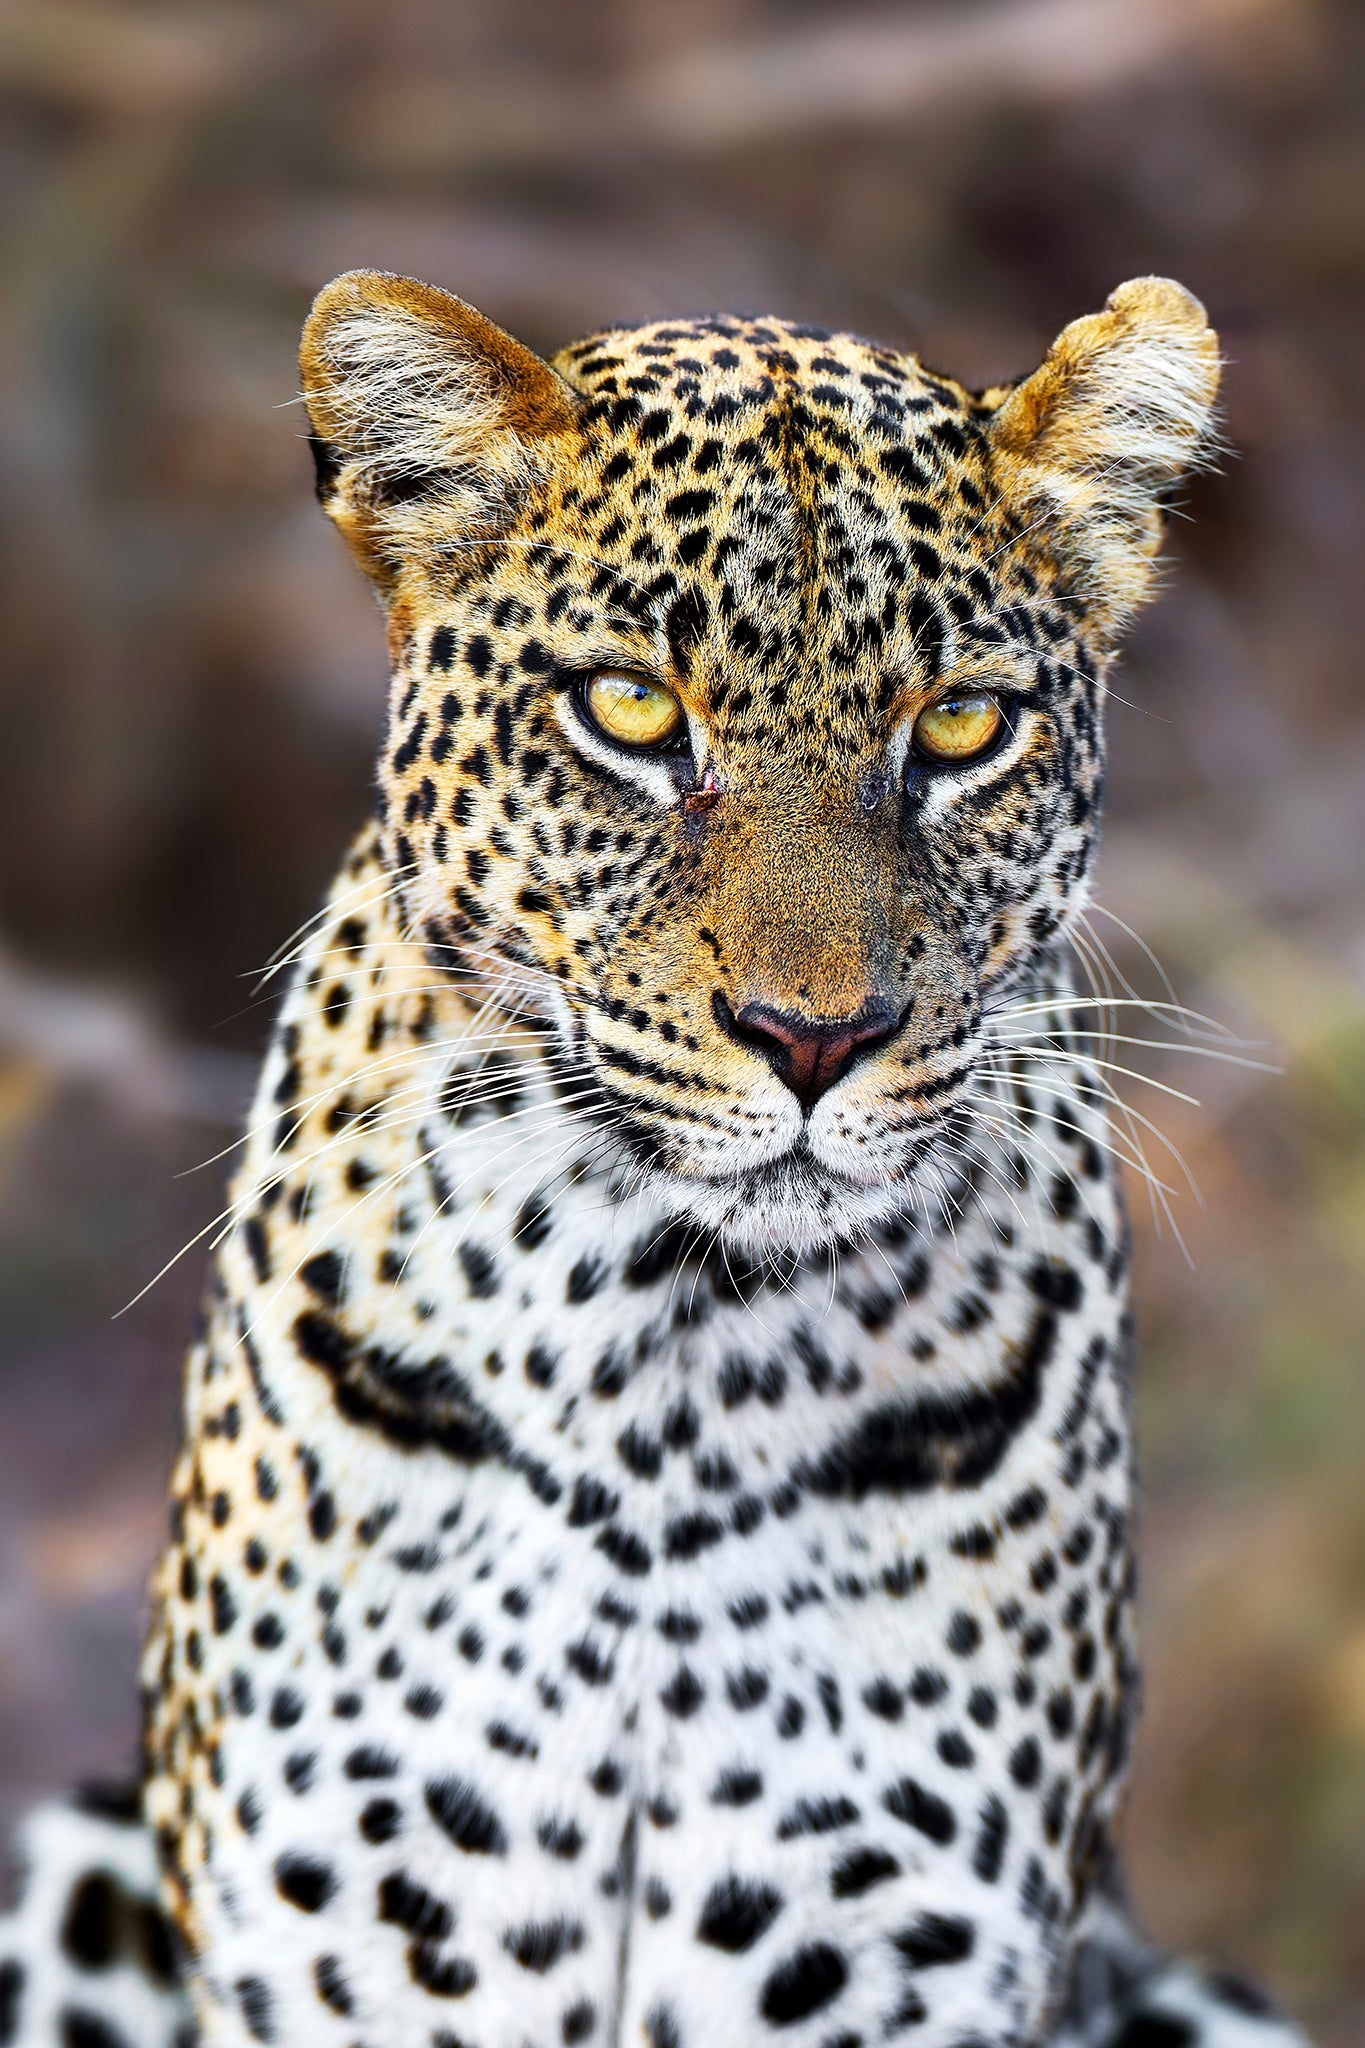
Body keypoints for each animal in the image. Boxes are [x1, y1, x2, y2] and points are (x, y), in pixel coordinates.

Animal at [0, 270, 1314, 2048]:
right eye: (628, 710)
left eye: (963, 726)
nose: (816, 1038)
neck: (669, 1357)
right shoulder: (352, 1944)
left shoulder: (885, 1947)